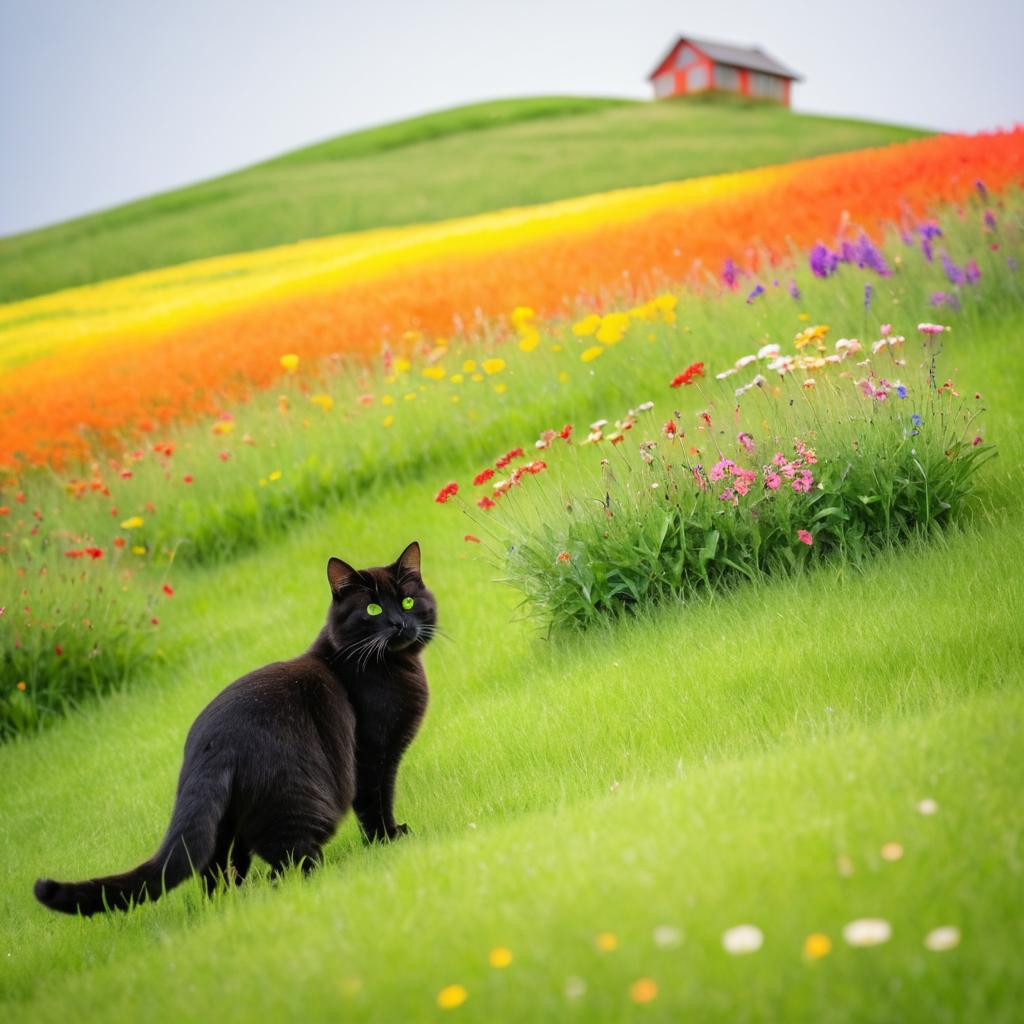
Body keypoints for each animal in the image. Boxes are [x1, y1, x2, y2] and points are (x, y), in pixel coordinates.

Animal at [35, 540, 432, 917]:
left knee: (216, 874)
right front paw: (389, 839)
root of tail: (211, 746)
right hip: (300, 803)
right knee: (287, 866)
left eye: (408, 601)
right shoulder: (374, 753)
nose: (399, 623)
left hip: (224, 823)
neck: (393, 666)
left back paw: (234, 901)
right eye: (373, 610)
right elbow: (376, 801)